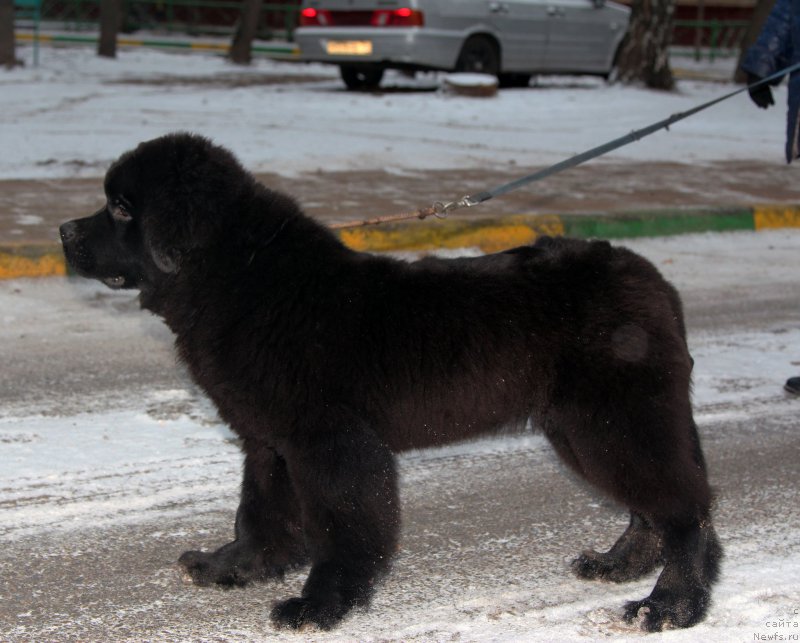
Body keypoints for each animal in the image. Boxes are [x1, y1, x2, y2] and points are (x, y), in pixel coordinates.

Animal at [61, 132, 724, 632]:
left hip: (614, 420)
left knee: (685, 512)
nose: (65, 232)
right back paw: (619, 566)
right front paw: (234, 568)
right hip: (584, 428)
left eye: (122, 208)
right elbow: (258, 510)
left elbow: (341, 526)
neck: (239, 278)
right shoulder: (270, 441)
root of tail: (649, 278)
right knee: (652, 507)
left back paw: (670, 605)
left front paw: (319, 606)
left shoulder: (331, 443)